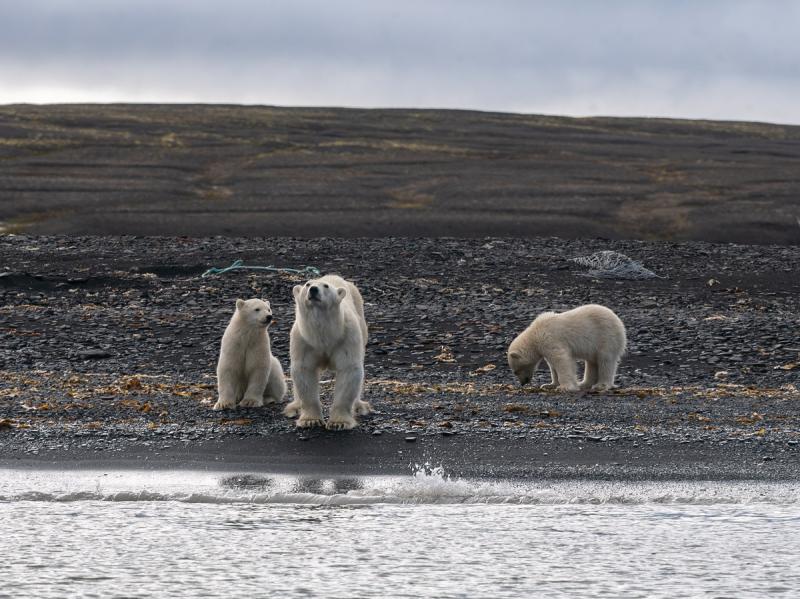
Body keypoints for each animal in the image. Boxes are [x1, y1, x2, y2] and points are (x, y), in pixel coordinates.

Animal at [284, 276, 372, 432]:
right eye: (307, 284)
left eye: (326, 286)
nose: (313, 289)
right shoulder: (303, 338)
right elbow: (304, 370)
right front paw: (310, 420)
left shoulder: (347, 335)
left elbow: (348, 369)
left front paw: (339, 422)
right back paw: (294, 407)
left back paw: (360, 406)